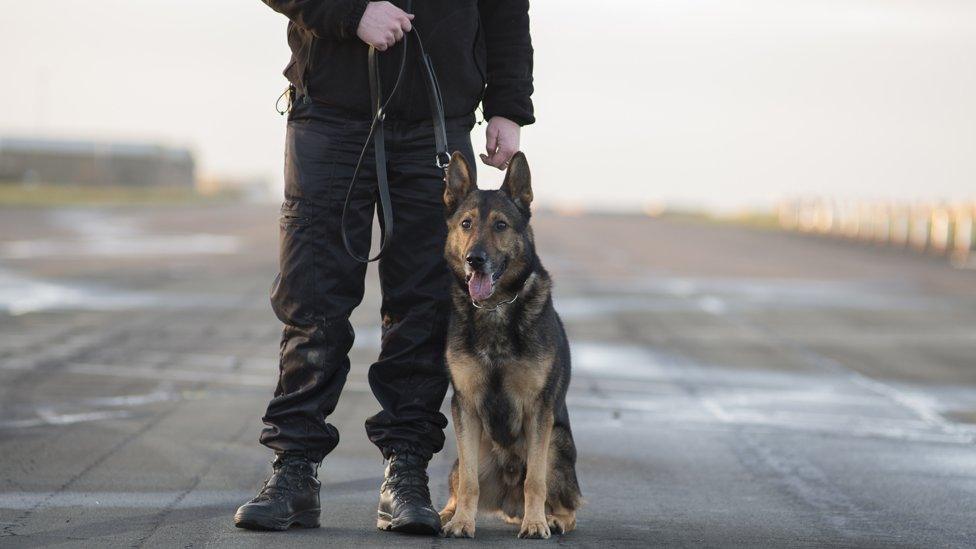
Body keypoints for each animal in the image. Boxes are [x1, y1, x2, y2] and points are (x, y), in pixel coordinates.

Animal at [440, 152, 580, 536]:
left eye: (501, 225)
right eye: (466, 224)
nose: (474, 259)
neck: (495, 309)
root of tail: (507, 501)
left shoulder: (539, 410)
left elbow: (535, 480)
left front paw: (535, 524)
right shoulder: (465, 406)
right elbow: (469, 482)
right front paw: (462, 523)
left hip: (558, 444)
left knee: (565, 502)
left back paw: (552, 519)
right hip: (469, 451)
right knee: (460, 482)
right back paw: (443, 514)